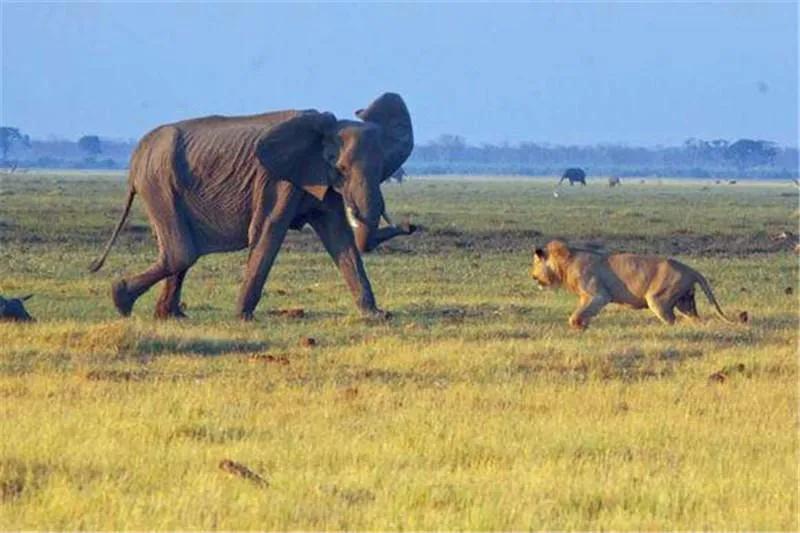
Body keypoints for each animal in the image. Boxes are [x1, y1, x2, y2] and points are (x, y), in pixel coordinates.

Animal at [92, 92, 418, 320]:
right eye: (340, 168)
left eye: (382, 168)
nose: (412, 225)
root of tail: (137, 155)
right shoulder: (278, 180)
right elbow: (268, 231)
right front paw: (242, 318)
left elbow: (340, 237)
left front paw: (376, 316)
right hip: (158, 182)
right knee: (181, 252)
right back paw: (121, 300)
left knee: (179, 252)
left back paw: (169, 315)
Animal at [528, 240, 736, 328]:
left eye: (535, 263)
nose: (533, 277)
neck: (564, 261)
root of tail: (691, 269)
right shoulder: (585, 297)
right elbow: (583, 311)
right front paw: (582, 325)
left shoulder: (598, 295)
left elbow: (580, 312)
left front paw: (577, 325)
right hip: (686, 302)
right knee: (695, 318)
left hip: (657, 299)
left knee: (671, 320)